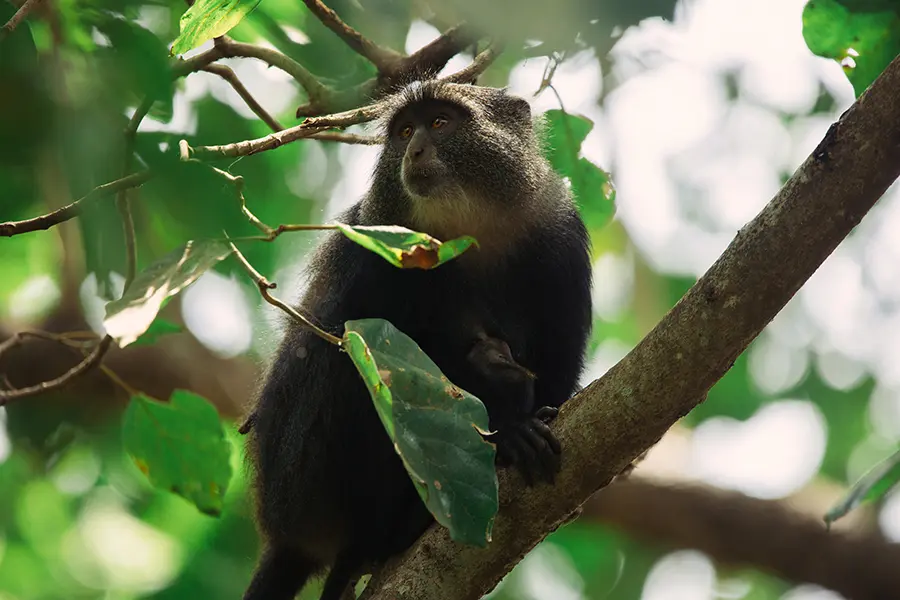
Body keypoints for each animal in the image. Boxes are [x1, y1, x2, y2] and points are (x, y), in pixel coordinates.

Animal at [246, 79, 596, 600]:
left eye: (439, 122)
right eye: (406, 131)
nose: (415, 150)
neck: (469, 230)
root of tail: (290, 536)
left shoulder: (561, 235)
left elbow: (560, 368)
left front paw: (523, 409)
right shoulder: (372, 249)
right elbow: (364, 343)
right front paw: (507, 415)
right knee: (351, 363)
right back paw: (387, 535)